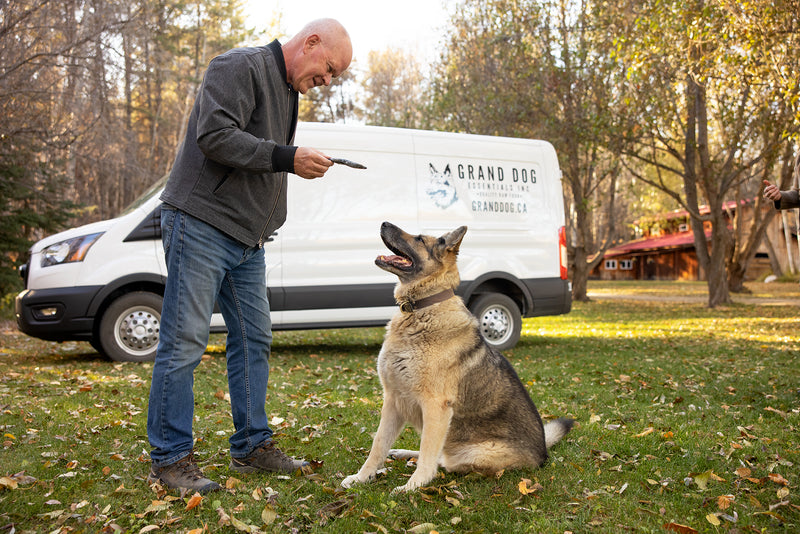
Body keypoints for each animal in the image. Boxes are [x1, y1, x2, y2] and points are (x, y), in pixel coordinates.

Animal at [340, 222, 572, 494]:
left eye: (419, 239)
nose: (384, 223)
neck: (421, 308)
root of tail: (543, 452)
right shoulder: (393, 400)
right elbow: (378, 446)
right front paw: (361, 477)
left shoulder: (435, 407)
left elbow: (428, 453)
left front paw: (414, 486)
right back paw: (402, 454)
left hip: (473, 453)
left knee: (442, 460)